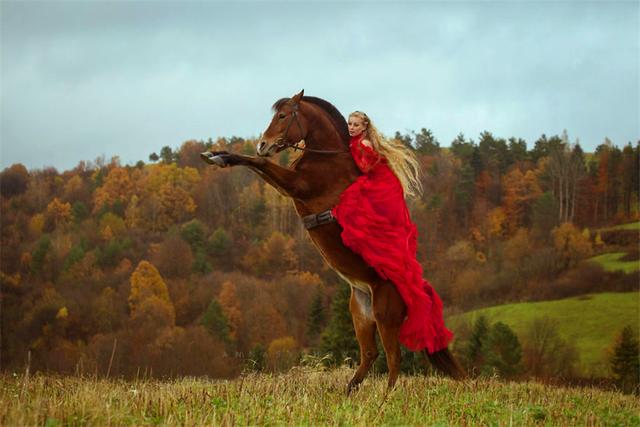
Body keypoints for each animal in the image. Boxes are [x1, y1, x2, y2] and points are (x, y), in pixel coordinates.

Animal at [202, 91, 462, 394]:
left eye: (282, 116)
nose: (263, 144)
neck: (328, 159)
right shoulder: (287, 186)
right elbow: (258, 166)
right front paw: (217, 155)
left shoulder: (296, 185)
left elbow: (261, 164)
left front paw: (219, 157)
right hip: (360, 313)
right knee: (370, 354)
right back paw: (348, 392)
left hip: (386, 316)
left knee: (393, 359)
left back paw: (384, 398)